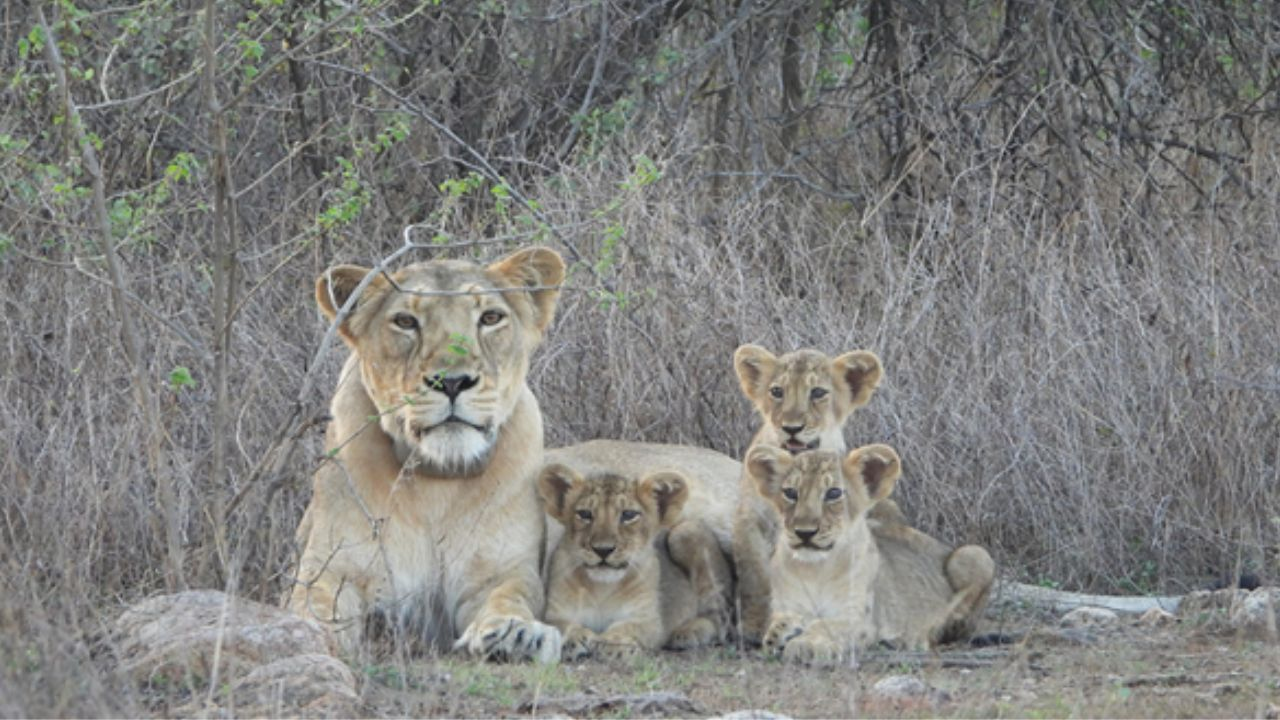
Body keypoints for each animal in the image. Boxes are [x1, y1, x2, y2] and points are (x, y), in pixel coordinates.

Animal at [286, 246, 566, 662]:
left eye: (490, 318)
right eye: (405, 321)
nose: (452, 382)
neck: (438, 479)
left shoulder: (501, 571)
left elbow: (509, 596)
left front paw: (515, 634)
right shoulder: (333, 567)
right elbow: (313, 603)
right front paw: (307, 634)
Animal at [731, 344, 884, 643]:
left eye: (817, 392)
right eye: (777, 391)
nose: (791, 428)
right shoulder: (749, 520)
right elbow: (757, 575)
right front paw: (757, 625)